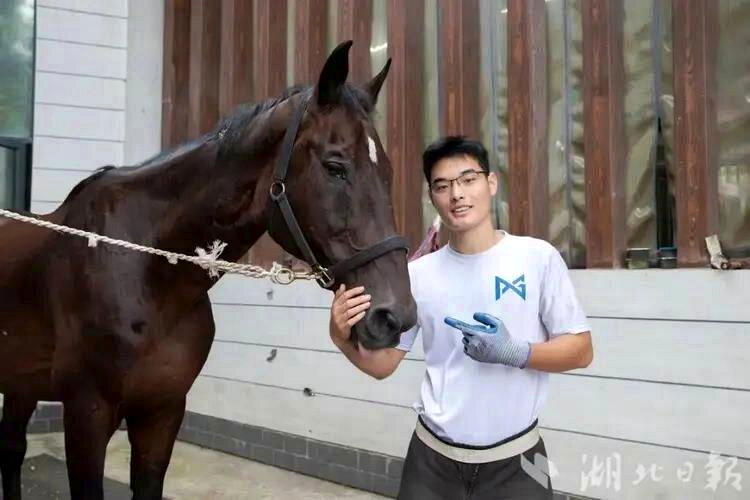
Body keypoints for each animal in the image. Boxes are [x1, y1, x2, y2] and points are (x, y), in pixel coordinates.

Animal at [0, 40, 417, 500]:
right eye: (334, 166)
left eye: (389, 172)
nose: (395, 316)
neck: (148, 273)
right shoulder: (85, 415)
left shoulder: (162, 413)